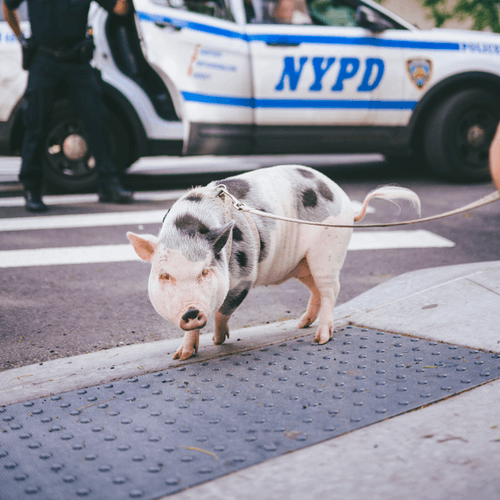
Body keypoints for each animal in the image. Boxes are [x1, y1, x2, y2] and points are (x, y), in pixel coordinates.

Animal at [127, 165, 420, 360]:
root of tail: (345, 200)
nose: (190, 311)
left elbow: (224, 310)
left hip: (327, 251)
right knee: (316, 290)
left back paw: (320, 339)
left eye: (205, 272)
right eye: (165, 276)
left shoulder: (245, 276)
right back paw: (301, 324)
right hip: (301, 264)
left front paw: (219, 340)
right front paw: (181, 356)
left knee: (331, 290)